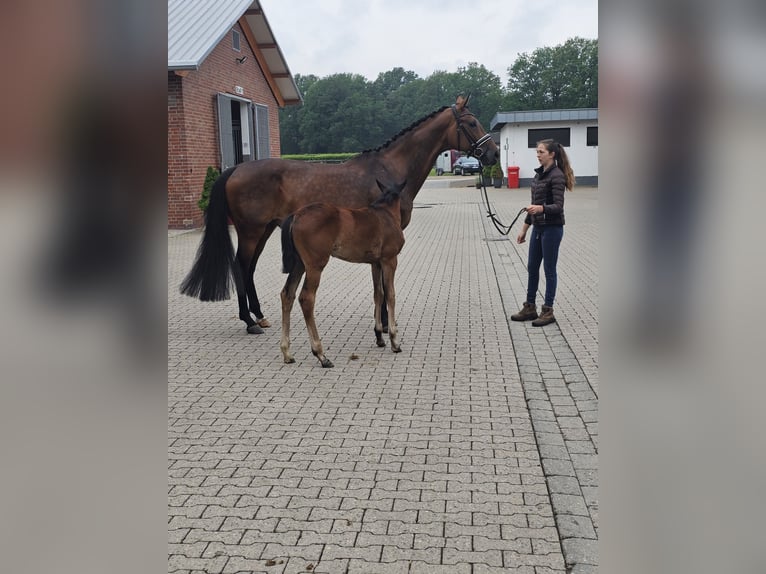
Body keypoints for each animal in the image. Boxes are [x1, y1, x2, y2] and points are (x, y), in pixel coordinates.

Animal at [182, 96, 500, 336]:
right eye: (472, 122)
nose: (493, 154)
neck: (390, 169)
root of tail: (236, 170)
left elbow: (379, 284)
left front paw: (382, 322)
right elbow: (383, 285)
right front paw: (386, 325)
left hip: (265, 230)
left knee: (249, 269)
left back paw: (259, 316)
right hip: (251, 230)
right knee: (241, 266)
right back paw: (249, 322)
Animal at [278, 180, 408, 368]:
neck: (386, 214)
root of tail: (296, 215)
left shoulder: (375, 264)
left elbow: (378, 294)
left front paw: (379, 337)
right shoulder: (389, 260)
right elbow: (390, 295)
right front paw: (394, 341)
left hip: (299, 264)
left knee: (287, 294)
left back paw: (287, 353)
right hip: (315, 265)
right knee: (306, 298)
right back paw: (321, 355)